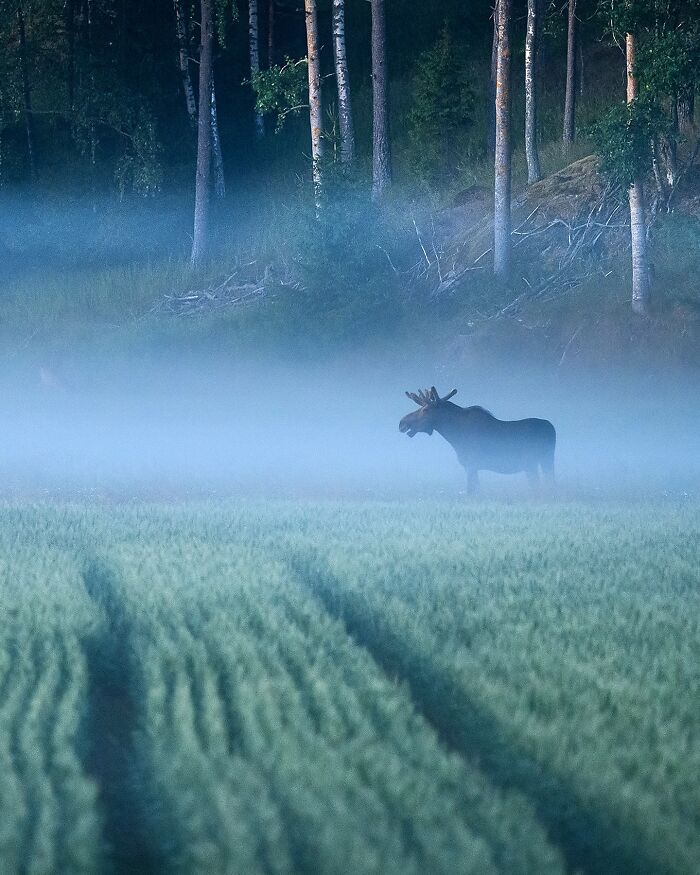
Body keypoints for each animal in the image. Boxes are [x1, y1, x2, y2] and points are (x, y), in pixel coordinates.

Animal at [400, 386, 556, 496]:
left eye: (425, 410)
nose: (402, 423)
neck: (453, 434)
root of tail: (552, 429)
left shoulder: (471, 465)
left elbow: (471, 493)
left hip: (537, 462)